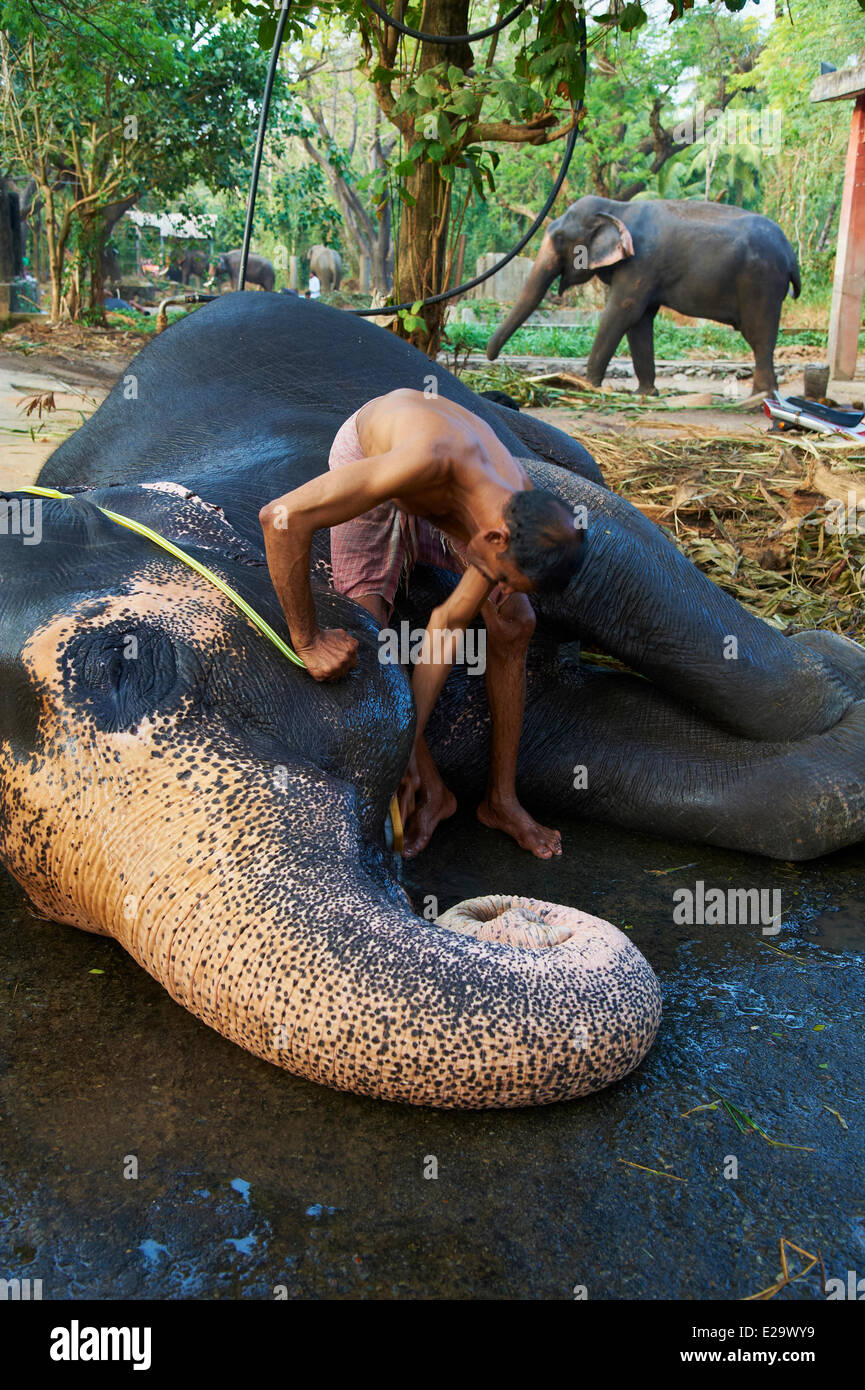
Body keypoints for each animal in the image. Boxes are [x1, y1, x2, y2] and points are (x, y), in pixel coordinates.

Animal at [492, 194, 801, 397]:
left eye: (559, 240)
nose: (493, 359)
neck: (617, 208)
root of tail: (790, 252)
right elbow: (640, 320)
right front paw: (645, 394)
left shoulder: (641, 263)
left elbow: (623, 310)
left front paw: (585, 385)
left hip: (761, 281)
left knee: (760, 335)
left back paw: (757, 399)